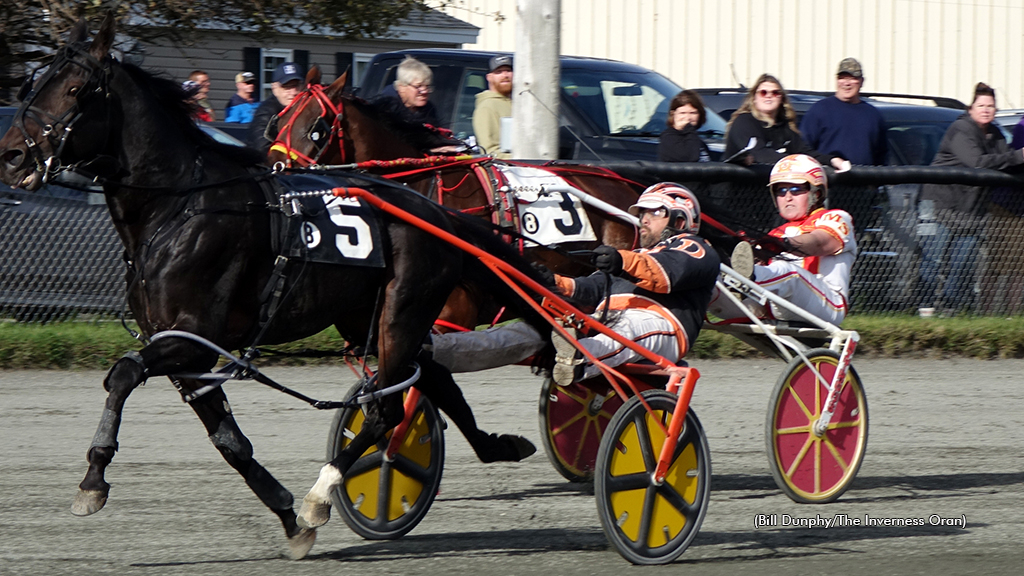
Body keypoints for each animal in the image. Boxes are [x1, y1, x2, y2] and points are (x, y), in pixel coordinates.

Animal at [0, 15, 548, 557]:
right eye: (32, 84)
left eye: (75, 89)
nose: (11, 155)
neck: (178, 207)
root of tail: (435, 211)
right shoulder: (185, 349)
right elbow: (229, 442)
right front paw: (288, 520)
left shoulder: (192, 338)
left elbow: (122, 374)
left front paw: (93, 478)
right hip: (369, 318)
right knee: (431, 376)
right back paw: (496, 445)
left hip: (403, 310)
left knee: (386, 406)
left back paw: (323, 492)